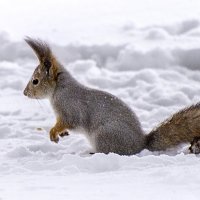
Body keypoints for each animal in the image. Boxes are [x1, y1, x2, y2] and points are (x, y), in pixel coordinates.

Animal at [23, 38, 200, 156]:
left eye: (35, 81)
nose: (25, 93)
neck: (59, 89)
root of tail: (140, 145)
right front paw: (62, 134)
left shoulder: (69, 108)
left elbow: (68, 121)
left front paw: (54, 132)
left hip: (104, 135)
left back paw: (92, 153)